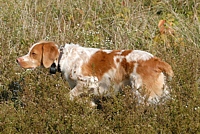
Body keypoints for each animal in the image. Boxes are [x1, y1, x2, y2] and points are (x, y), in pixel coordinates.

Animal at [16, 40, 173, 105]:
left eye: (33, 53)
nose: (18, 60)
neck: (64, 57)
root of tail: (156, 60)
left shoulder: (89, 81)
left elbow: (69, 96)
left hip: (143, 92)